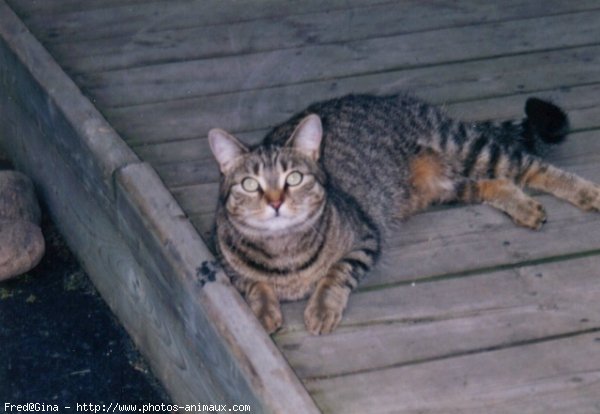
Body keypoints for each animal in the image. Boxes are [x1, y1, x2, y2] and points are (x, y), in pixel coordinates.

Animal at [209, 92, 600, 334]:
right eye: (250, 184)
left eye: (294, 178)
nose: (275, 202)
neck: (284, 252)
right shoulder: (221, 256)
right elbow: (252, 283)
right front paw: (263, 310)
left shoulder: (366, 240)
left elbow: (336, 274)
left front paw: (322, 308)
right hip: (447, 188)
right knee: (498, 184)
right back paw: (523, 206)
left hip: (470, 149)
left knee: (532, 167)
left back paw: (586, 192)